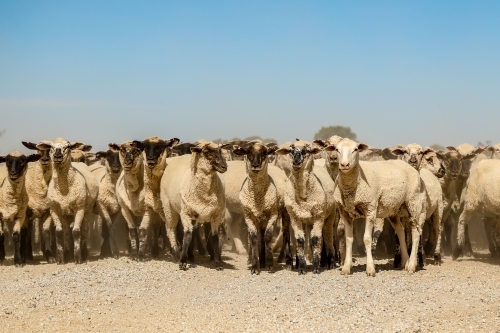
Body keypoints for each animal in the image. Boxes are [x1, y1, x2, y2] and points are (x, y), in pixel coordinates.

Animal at [161, 140, 228, 270]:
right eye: (207, 153)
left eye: (220, 151)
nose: (224, 166)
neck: (205, 195)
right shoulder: (185, 213)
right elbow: (187, 235)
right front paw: (182, 262)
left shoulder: (216, 215)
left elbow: (215, 237)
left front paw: (218, 262)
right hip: (169, 207)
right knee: (171, 229)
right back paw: (176, 254)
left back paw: (190, 255)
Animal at [231, 140, 292, 272]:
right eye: (248, 152)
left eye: (264, 153)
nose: (255, 165)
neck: (258, 198)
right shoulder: (248, 215)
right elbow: (254, 238)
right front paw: (255, 265)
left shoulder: (273, 214)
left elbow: (268, 237)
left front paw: (269, 263)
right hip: (259, 218)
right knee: (259, 236)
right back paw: (260, 260)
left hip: (283, 212)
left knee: (285, 234)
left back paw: (287, 261)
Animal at [274, 139, 336, 274]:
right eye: (291, 150)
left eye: (307, 150)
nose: (296, 158)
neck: (303, 195)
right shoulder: (295, 216)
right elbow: (300, 240)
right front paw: (301, 268)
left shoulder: (319, 216)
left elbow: (316, 239)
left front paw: (316, 267)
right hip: (304, 220)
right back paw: (298, 263)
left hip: (329, 216)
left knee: (328, 235)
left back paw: (331, 263)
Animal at [324, 137, 426, 274]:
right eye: (337, 149)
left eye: (355, 149)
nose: (344, 165)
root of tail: (410, 167)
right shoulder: (345, 213)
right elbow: (349, 239)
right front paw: (346, 267)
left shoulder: (370, 209)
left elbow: (367, 239)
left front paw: (370, 268)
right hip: (394, 209)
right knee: (400, 231)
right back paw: (405, 261)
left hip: (413, 203)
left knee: (415, 232)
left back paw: (412, 265)